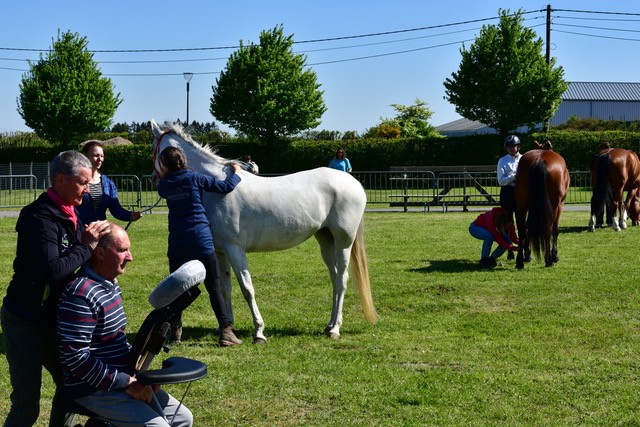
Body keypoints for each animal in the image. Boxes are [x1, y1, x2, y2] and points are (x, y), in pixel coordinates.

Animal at [150, 120, 378, 343]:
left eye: (153, 149)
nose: (153, 178)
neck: (216, 187)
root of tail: (353, 183)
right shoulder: (220, 252)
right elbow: (224, 288)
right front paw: (226, 327)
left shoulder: (235, 249)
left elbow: (247, 288)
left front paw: (259, 332)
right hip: (326, 239)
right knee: (335, 278)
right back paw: (329, 325)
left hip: (343, 241)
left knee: (342, 279)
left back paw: (335, 329)